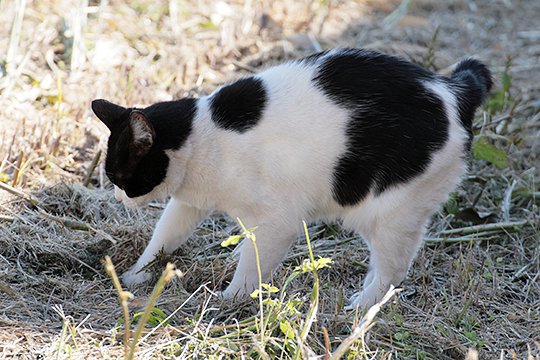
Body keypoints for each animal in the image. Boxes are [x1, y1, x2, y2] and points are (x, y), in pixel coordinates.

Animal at [90, 47, 492, 308]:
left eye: (121, 176)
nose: (117, 197)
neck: (202, 137)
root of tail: (451, 89)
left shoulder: (277, 221)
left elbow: (253, 264)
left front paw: (232, 299)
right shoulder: (188, 203)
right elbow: (164, 237)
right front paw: (136, 276)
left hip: (391, 213)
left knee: (393, 271)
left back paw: (363, 306)